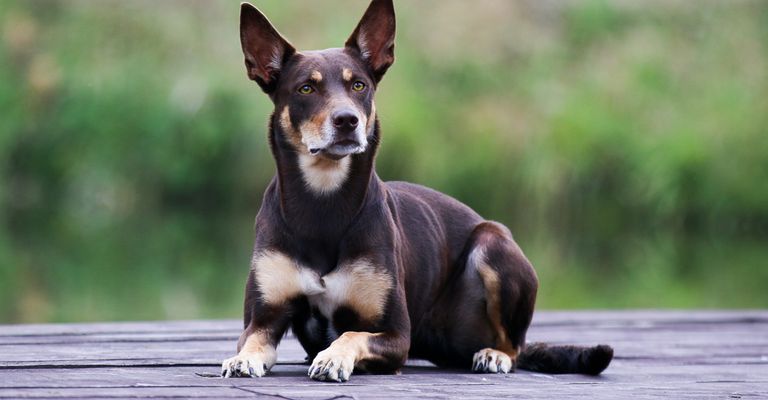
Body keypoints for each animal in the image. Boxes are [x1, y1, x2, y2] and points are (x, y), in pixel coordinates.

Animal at [220, 0, 612, 382]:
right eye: (306, 88)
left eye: (358, 86)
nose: (347, 121)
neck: (323, 203)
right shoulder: (264, 317)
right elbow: (253, 340)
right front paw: (243, 359)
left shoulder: (396, 335)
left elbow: (351, 334)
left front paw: (333, 358)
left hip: (493, 245)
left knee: (513, 345)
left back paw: (494, 354)